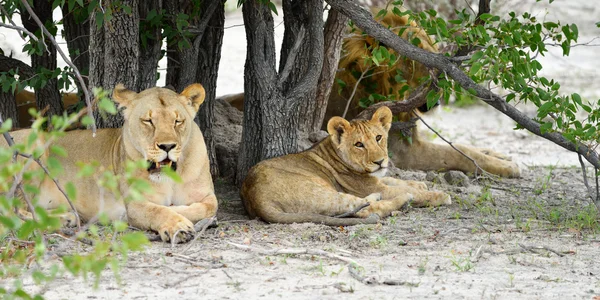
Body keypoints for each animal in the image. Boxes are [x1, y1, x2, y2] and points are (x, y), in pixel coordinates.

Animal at [5, 83, 218, 243]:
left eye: (178, 121)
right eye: (148, 121)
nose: (167, 146)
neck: (171, 178)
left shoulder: (208, 196)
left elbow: (207, 207)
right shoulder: (134, 204)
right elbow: (158, 210)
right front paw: (178, 225)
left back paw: (67, 217)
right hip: (35, 145)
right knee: (11, 212)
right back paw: (65, 219)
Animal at [239, 106, 450, 226]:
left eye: (378, 137)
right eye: (359, 144)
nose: (380, 161)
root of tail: (257, 200)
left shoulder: (377, 180)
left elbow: (395, 179)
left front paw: (419, 184)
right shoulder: (368, 185)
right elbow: (405, 190)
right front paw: (438, 195)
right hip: (322, 192)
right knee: (364, 208)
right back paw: (403, 200)